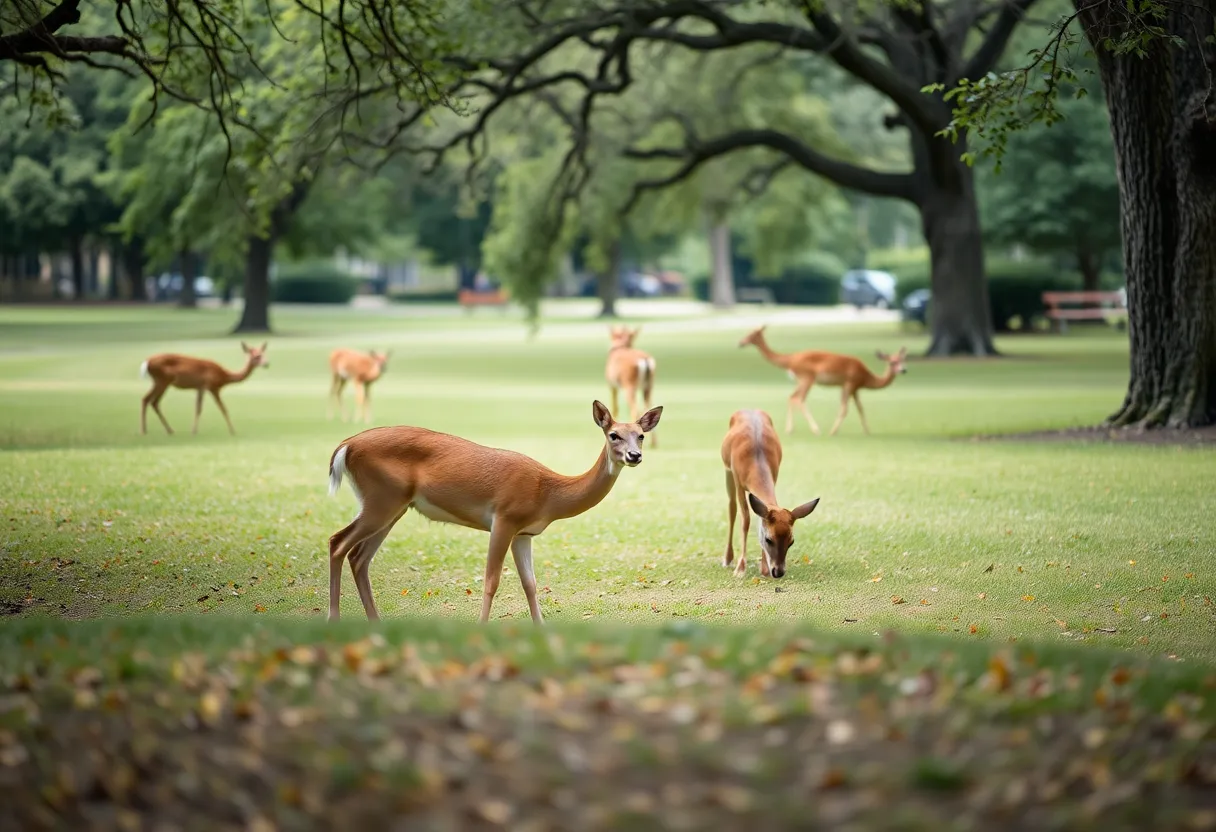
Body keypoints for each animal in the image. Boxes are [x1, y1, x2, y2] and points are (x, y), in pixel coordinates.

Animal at [139, 342, 269, 436]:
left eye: (264, 354)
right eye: (256, 356)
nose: (267, 364)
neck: (224, 376)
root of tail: (147, 361)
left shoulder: (200, 387)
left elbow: (198, 408)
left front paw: (193, 430)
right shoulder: (213, 387)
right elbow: (223, 408)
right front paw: (233, 431)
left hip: (158, 381)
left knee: (148, 400)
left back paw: (161, 430)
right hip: (163, 380)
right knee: (152, 400)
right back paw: (149, 430)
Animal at [326, 400, 663, 624]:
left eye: (640, 435)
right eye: (613, 435)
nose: (635, 455)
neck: (549, 494)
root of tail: (344, 446)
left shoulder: (524, 533)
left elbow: (530, 584)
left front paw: (541, 630)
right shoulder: (504, 518)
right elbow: (492, 581)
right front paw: (482, 627)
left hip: (393, 505)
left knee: (359, 557)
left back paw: (375, 622)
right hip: (381, 498)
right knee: (337, 543)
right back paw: (333, 619)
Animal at [721, 409, 820, 579]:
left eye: (791, 541)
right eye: (769, 539)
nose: (778, 572)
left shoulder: (775, 475)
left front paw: (764, 569)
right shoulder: (738, 480)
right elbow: (745, 519)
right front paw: (740, 569)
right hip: (728, 472)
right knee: (731, 508)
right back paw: (727, 559)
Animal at [739, 325, 907, 437]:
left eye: (902, 360)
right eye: (892, 362)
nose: (904, 370)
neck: (867, 378)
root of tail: (791, 360)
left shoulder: (853, 387)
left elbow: (860, 408)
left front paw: (867, 431)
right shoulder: (849, 383)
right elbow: (845, 408)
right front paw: (833, 431)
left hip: (802, 379)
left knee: (792, 397)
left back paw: (790, 429)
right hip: (807, 377)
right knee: (799, 399)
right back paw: (815, 429)